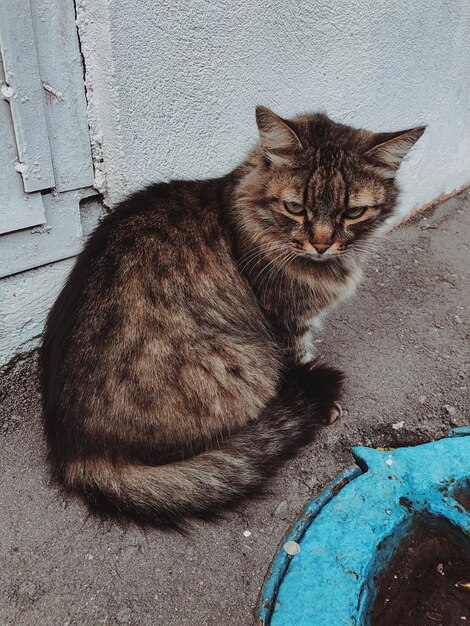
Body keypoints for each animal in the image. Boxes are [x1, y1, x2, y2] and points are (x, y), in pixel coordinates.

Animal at [38, 105, 424, 524]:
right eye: (295, 208)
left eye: (353, 212)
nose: (322, 244)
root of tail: (75, 454)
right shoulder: (285, 322)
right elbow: (300, 354)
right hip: (247, 361)